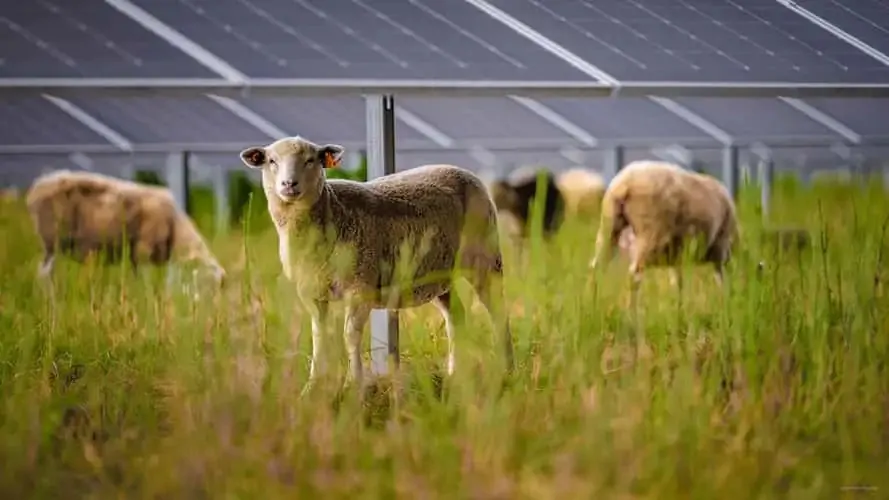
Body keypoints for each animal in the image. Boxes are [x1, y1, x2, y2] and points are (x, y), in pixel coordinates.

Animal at [25, 170, 225, 286]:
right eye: (209, 284)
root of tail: (37, 187)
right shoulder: (143, 250)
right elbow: (146, 282)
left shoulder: (136, 257)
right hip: (53, 239)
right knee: (44, 273)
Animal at [238, 135, 514, 392]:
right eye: (271, 161)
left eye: (310, 160)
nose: (289, 184)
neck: (331, 211)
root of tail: (466, 172)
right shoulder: (311, 291)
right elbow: (319, 336)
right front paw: (313, 386)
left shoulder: (360, 288)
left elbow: (350, 336)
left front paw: (354, 385)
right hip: (438, 273)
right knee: (456, 316)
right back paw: (454, 374)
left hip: (486, 257)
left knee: (498, 311)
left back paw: (506, 369)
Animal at [589, 160, 739, 300]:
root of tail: (626, 183)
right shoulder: (720, 246)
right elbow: (719, 277)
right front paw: (723, 300)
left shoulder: (677, 256)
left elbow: (678, 282)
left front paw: (678, 305)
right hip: (651, 234)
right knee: (634, 276)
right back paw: (632, 311)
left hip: (609, 226)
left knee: (596, 267)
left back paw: (592, 303)